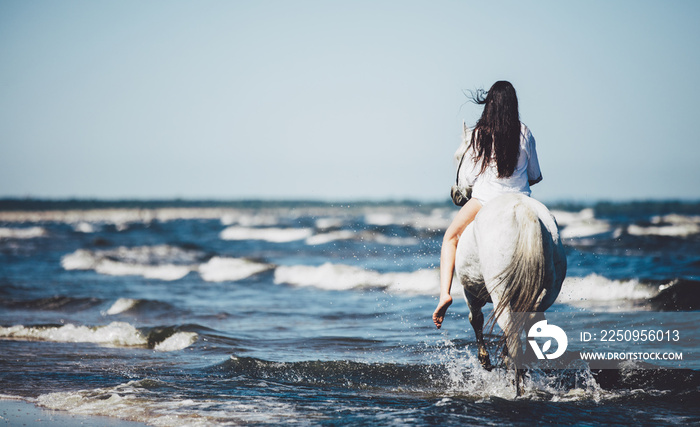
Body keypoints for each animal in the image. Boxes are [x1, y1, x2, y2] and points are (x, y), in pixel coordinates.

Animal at [454, 193, 568, 394]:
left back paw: (518, 389)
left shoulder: (471, 294)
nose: (455, 194)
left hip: (500, 291)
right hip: (548, 291)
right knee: (530, 322)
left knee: (512, 334)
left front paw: (485, 360)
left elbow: (475, 320)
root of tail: (525, 212)